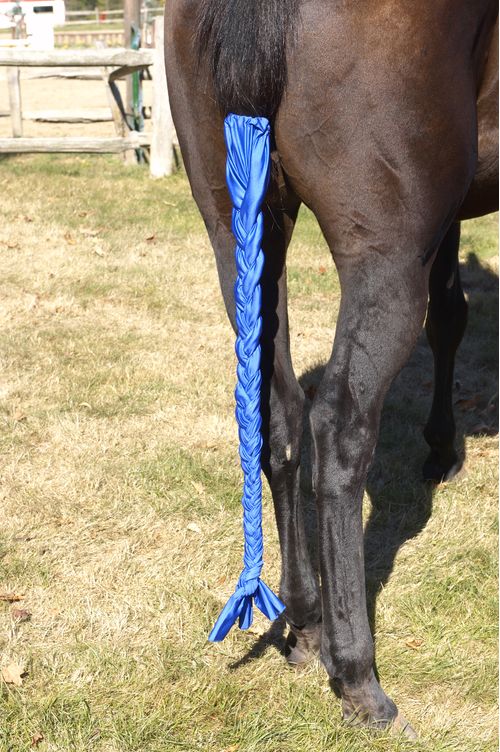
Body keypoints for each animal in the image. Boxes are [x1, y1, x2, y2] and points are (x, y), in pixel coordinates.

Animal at [163, 0, 496, 736]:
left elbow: (450, 314)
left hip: (239, 229)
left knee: (278, 415)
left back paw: (307, 623)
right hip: (385, 254)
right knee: (339, 426)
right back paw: (359, 678)